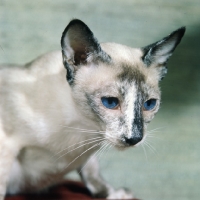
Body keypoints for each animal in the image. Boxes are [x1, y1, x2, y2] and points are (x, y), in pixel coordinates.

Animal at [0, 19, 185, 200]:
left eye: (149, 104)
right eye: (110, 102)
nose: (134, 138)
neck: (84, 125)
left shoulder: (87, 155)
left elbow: (93, 175)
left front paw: (114, 195)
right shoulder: (6, 145)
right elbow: (2, 185)